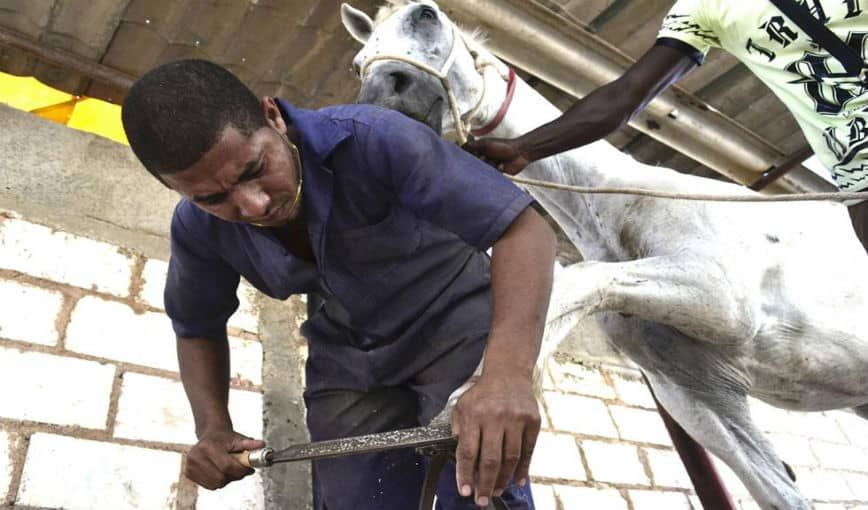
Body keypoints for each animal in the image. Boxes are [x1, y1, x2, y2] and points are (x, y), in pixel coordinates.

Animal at [342, 1, 868, 508]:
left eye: (426, 15)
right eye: (358, 60)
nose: (380, 101)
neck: (624, 202)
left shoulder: (724, 297)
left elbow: (577, 278)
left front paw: (478, 403)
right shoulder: (703, 397)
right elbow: (782, 495)